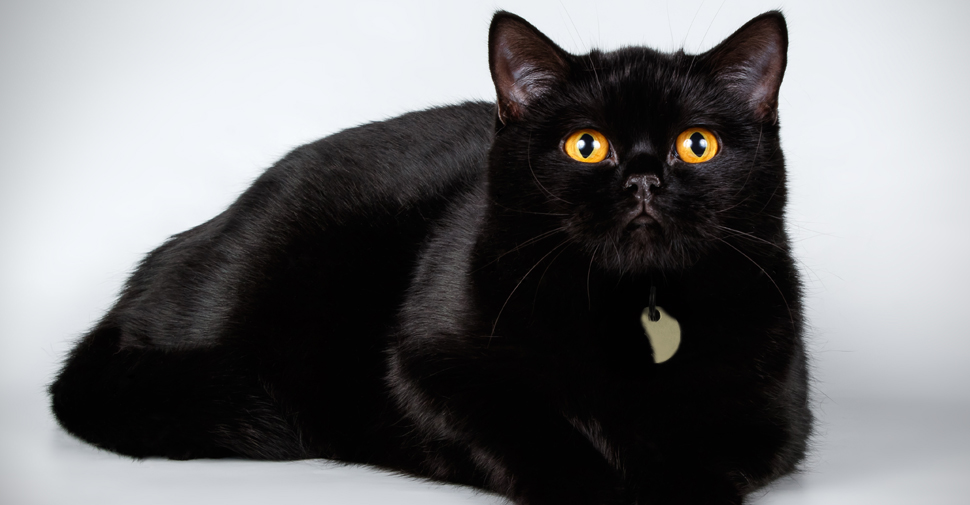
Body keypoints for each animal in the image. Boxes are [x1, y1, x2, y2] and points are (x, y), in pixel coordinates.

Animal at [51, 9, 808, 502]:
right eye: (586, 145)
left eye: (696, 145)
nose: (644, 179)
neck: (632, 310)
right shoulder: (428, 365)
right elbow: (532, 428)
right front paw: (593, 487)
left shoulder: (775, 417)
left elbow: (709, 459)